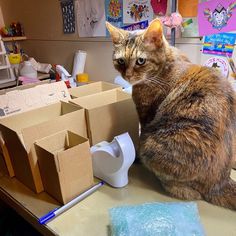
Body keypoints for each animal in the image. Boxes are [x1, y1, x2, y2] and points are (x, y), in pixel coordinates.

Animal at [106, 18, 236, 210]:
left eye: (140, 61)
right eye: (121, 61)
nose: (127, 76)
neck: (167, 63)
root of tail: (221, 182)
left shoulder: (145, 116)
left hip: (150, 145)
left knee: (191, 193)